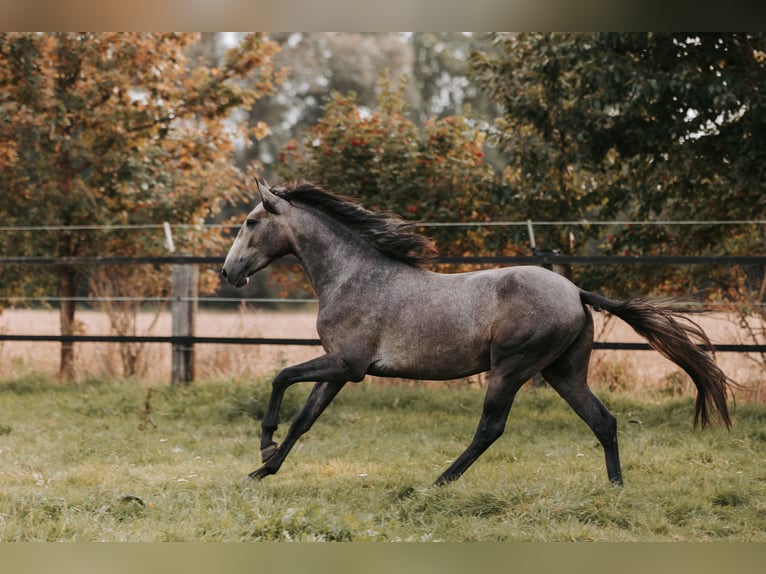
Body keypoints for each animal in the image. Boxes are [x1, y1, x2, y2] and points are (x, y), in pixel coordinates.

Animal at [220, 178, 732, 488]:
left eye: (250, 221)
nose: (228, 272)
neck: (352, 276)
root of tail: (575, 291)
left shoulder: (347, 364)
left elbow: (281, 377)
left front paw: (264, 445)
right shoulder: (341, 369)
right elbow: (305, 419)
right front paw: (262, 471)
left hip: (511, 368)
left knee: (491, 428)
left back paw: (438, 482)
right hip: (564, 373)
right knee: (603, 421)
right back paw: (616, 487)